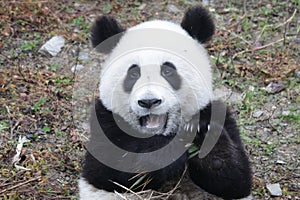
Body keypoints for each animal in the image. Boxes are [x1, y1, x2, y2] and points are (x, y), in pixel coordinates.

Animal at [78, 5, 252, 199]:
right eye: (134, 73)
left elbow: (235, 180)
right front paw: (169, 149)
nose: (149, 101)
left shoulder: (217, 113)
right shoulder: (105, 121)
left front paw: (203, 134)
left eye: (167, 71)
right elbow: (110, 166)